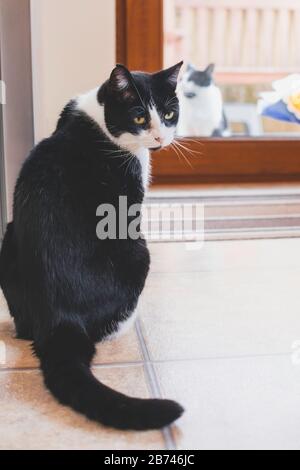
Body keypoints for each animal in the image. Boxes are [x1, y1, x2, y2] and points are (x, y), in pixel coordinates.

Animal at [0, 62, 184, 430]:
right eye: (140, 117)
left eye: (169, 114)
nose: (160, 138)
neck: (98, 117)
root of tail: (60, 317)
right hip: (138, 252)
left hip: (7, 239)